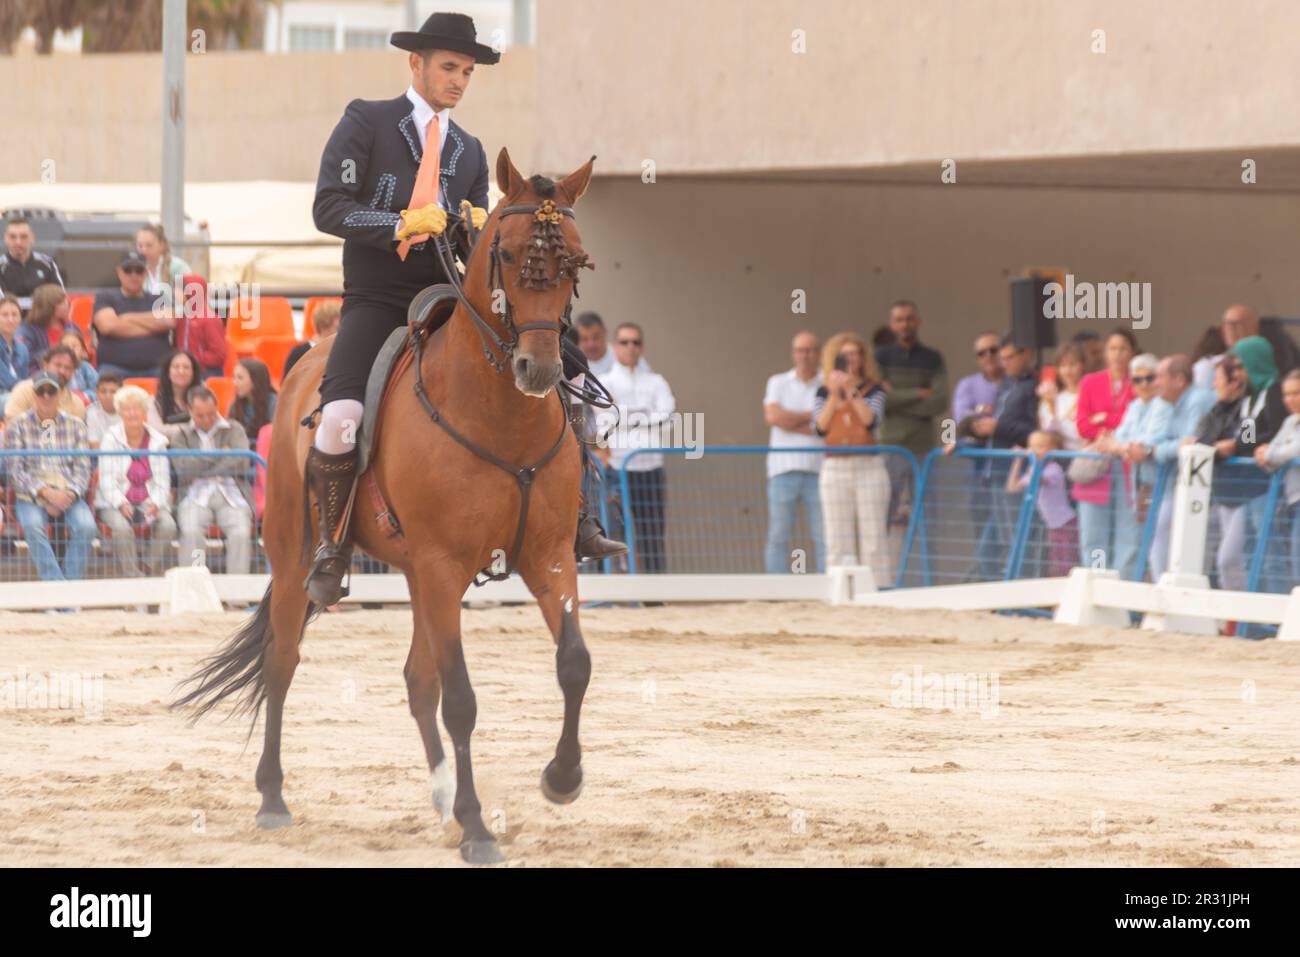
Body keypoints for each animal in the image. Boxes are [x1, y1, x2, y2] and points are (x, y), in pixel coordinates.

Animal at [175, 151, 595, 868]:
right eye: (509, 254)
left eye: (574, 260)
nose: (538, 369)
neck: (500, 415)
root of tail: (307, 361)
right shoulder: (443, 566)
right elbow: (461, 699)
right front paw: (479, 828)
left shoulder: (546, 557)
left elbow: (574, 664)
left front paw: (561, 779)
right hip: (298, 559)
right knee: (283, 663)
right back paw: (273, 798)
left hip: (418, 576)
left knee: (416, 680)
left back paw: (444, 800)